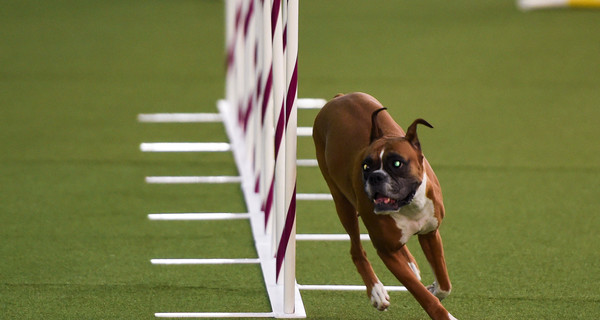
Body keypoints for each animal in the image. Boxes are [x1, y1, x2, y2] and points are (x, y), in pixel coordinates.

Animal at [312, 92, 458, 320]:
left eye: (397, 163)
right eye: (366, 166)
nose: (375, 177)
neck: (409, 205)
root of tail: (340, 97)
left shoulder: (430, 234)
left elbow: (444, 283)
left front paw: (435, 289)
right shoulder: (387, 252)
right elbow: (421, 294)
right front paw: (443, 314)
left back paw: (410, 263)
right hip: (342, 204)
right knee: (356, 250)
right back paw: (376, 291)